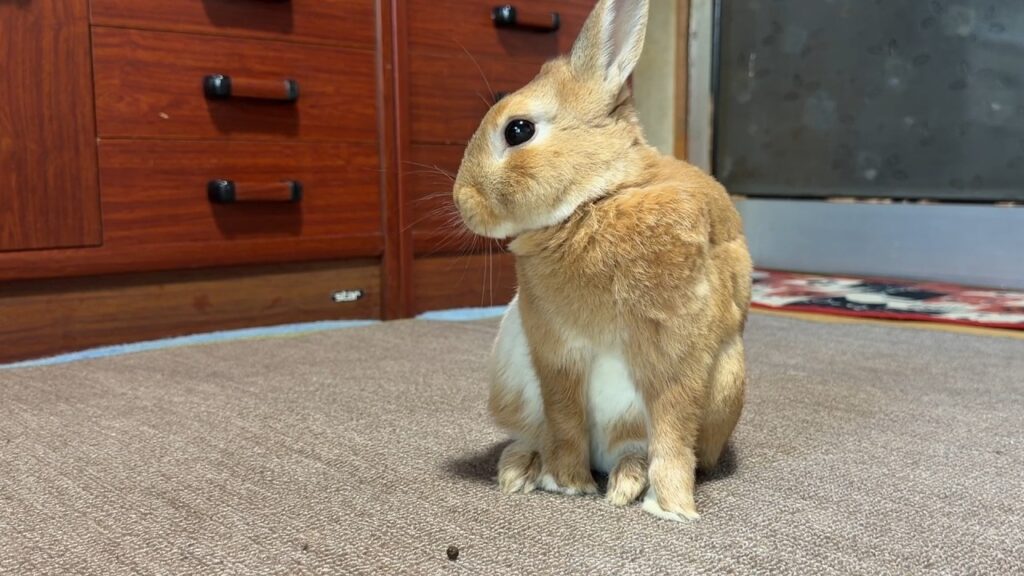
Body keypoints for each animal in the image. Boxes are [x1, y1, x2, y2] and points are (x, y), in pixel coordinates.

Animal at [452, 0, 752, 522]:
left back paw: (626, 483)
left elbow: (673, 431)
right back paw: (520, 471)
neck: (594, 200)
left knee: (635, 447)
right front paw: (568, 485)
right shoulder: (556, 351)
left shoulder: (677, 353)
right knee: (538, 433)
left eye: (518, 129)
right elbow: (565, 415)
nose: (461, 201)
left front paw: (673, 509)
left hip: (725, 380)